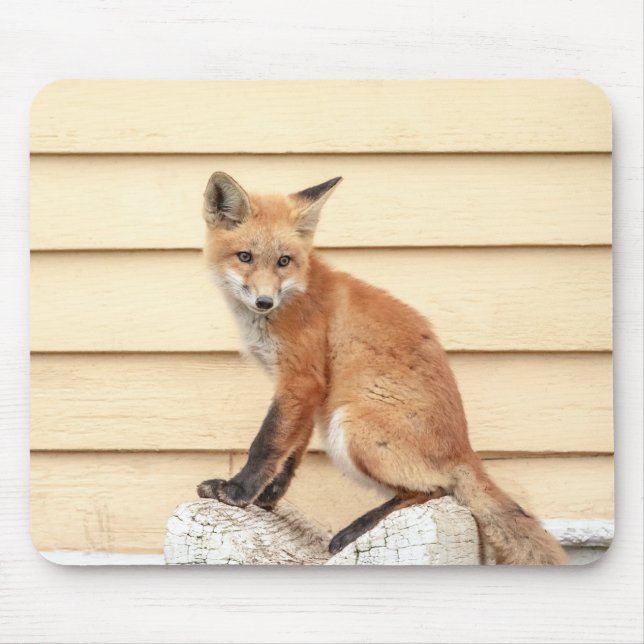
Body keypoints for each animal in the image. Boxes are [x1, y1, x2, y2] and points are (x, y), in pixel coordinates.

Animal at [196, 171, 568, 565]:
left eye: (284, 260)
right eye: (245, 257)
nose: (265, 301)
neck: (294, 295)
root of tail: (465, 450)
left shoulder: (301, 379)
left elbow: (266, 444)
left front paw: (237, 491)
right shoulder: (307, 392)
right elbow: (290, 454)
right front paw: (266, 498)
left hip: (350, 427)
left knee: (437, 490)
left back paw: (358, 527)